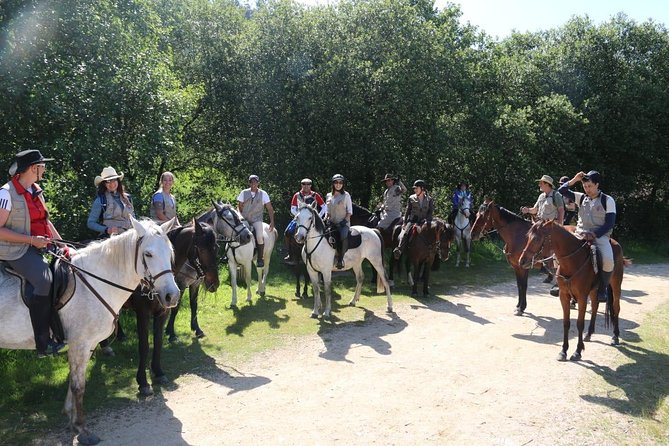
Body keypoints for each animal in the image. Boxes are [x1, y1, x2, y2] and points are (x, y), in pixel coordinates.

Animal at [0, 218, 180, 444]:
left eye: (170, 252)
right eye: (148, 254)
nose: (172, 296)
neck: (95, 281)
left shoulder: (87, 344)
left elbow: (74, 381)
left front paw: (70, 418)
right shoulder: (80, 343)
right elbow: (79, 387)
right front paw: (82, 429)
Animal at [516, 220, 628, 362]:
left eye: (536, 239)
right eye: (528, 237)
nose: (521, 261)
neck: (572, 262)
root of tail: (615, 243)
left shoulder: (582, 298)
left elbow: (580, 323)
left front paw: (577, 351)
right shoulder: (564, 296)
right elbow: (566, 322)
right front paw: (563, 351)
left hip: (616, 284)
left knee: (616, 307)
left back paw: (615, 336)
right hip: (594, 290)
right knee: (595, 307)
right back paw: (589, 334)